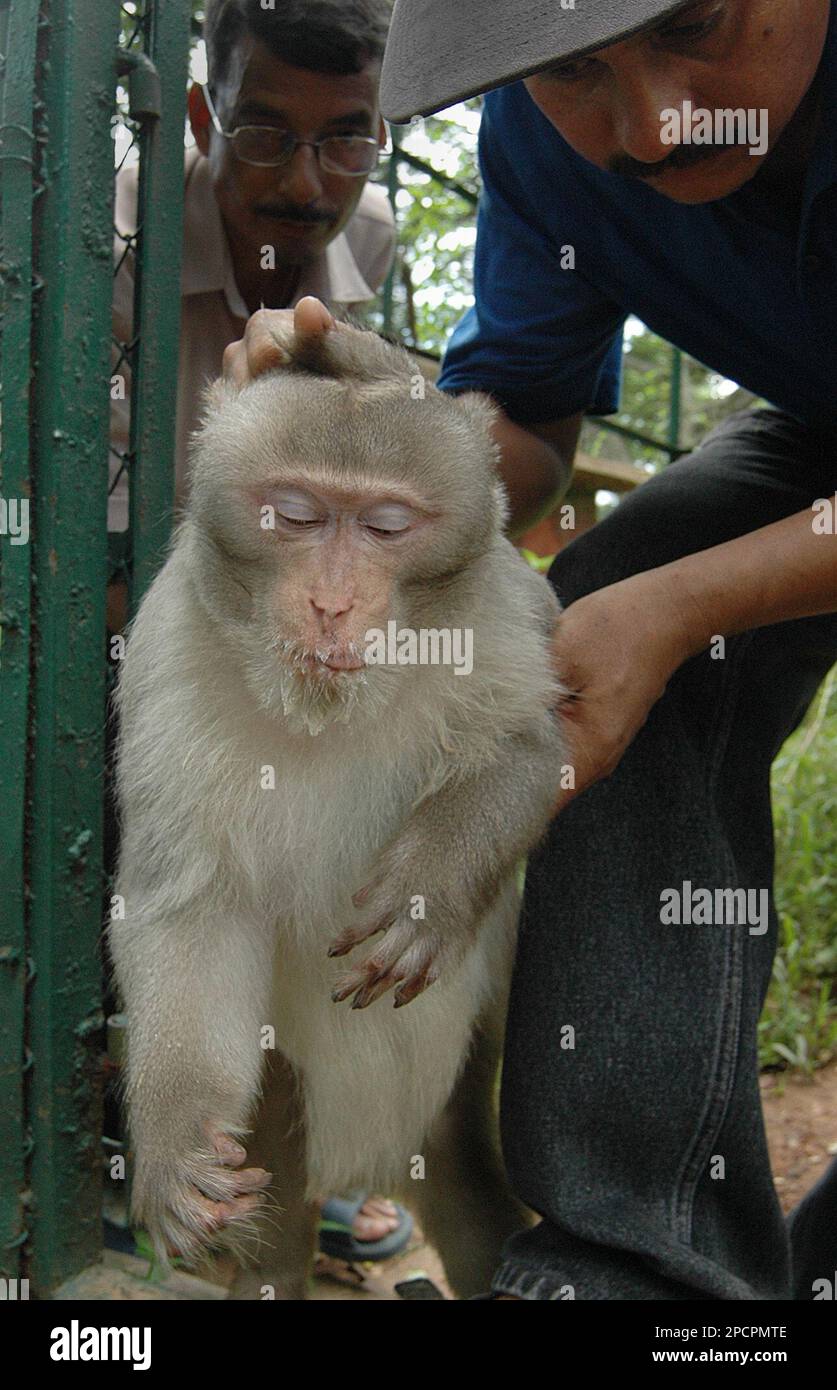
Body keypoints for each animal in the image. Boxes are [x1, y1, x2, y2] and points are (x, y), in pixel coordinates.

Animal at [108, 300, 566, 1299]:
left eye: (386, 527)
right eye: (296, 516)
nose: (330, 602)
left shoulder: (498, 610)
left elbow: (527, 750)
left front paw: (427, 889)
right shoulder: (167, 646)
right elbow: (189, 907)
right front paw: (173, 1148)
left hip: (465, 1060)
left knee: (469, 1192)